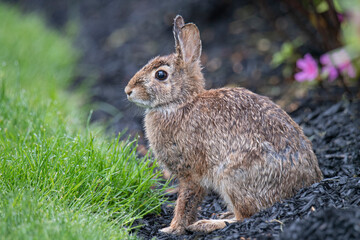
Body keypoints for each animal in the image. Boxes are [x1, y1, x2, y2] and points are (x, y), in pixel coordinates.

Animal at [124, 15, 324, 234]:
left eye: (161, 75)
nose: (128, 90)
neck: (180, 103)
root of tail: (307, 182)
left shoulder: (191, 172)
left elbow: (186, 201)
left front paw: (171, 229)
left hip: (232, 176)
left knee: (247, 215)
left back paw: (207, 224)